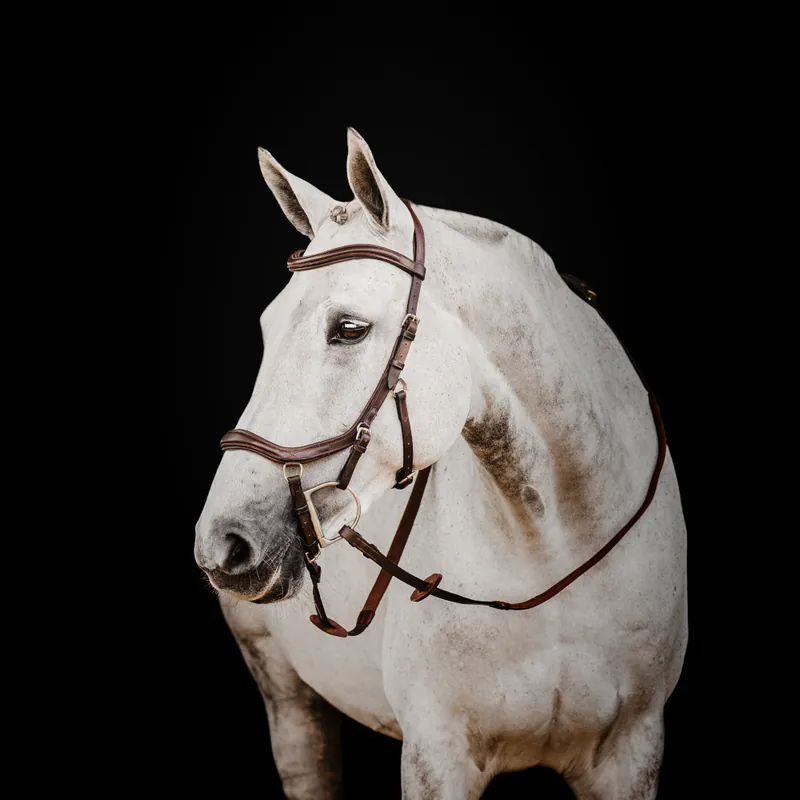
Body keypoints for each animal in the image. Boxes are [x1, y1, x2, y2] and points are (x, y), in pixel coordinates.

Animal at [194, 127, 688, 799]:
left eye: (349, 328)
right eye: (267, 331)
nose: (223, 543)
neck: (555, 544)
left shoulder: (632, 750)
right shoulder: (437, 755)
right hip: (287, 696)